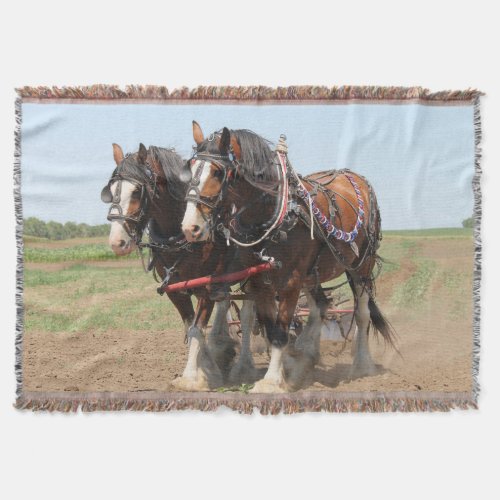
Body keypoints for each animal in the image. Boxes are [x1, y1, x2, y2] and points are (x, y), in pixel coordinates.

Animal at [182, 123, 396, 392]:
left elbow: (281, 330)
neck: (275, 213)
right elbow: (270, 327)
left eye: (218, 172)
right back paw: (304, 357)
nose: (190, 227)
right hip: (314, 273)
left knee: (361, 313)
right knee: (320, 307)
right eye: (190, 167)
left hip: (361, 266)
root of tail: (354, 176)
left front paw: (272, 381)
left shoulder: (291, 281)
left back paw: (362, 365)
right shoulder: (259, 282)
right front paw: (279, 373)